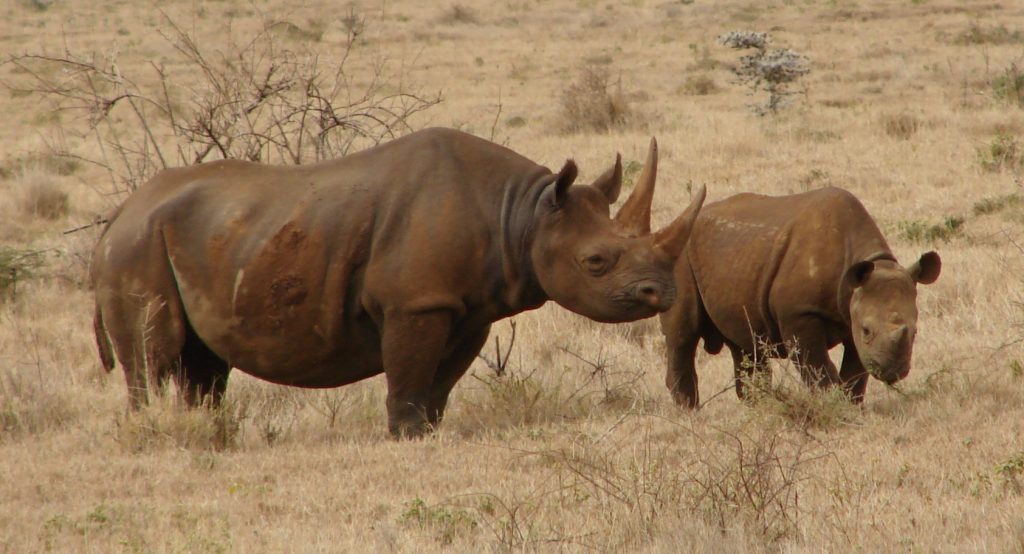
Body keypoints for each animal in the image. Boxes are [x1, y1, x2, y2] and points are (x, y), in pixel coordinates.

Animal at [92, 128, 706, 437]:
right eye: (597, 261)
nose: (663, 293)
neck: (523, 214)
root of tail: (118, 214)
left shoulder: (467, 308)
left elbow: (440, 382)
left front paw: (429, 432)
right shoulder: (417, 303)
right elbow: (409, 375)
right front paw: (405, 436)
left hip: (198, 239)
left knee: (203, 361)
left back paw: (208, 432)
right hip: (138, 247)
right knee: (153, 355)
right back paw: (155, 432)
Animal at [659, 186, 941, 407]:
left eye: (915, 332)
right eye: (867, 330)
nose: (892, 371)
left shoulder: (851, 312)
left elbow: (855, 372)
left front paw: (851, 408)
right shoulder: (800, 313)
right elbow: (818, 368)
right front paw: (833, 405)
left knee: (746, 344)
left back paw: (759, 406)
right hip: (679, 257)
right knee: (682, 335)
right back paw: (689, 412)